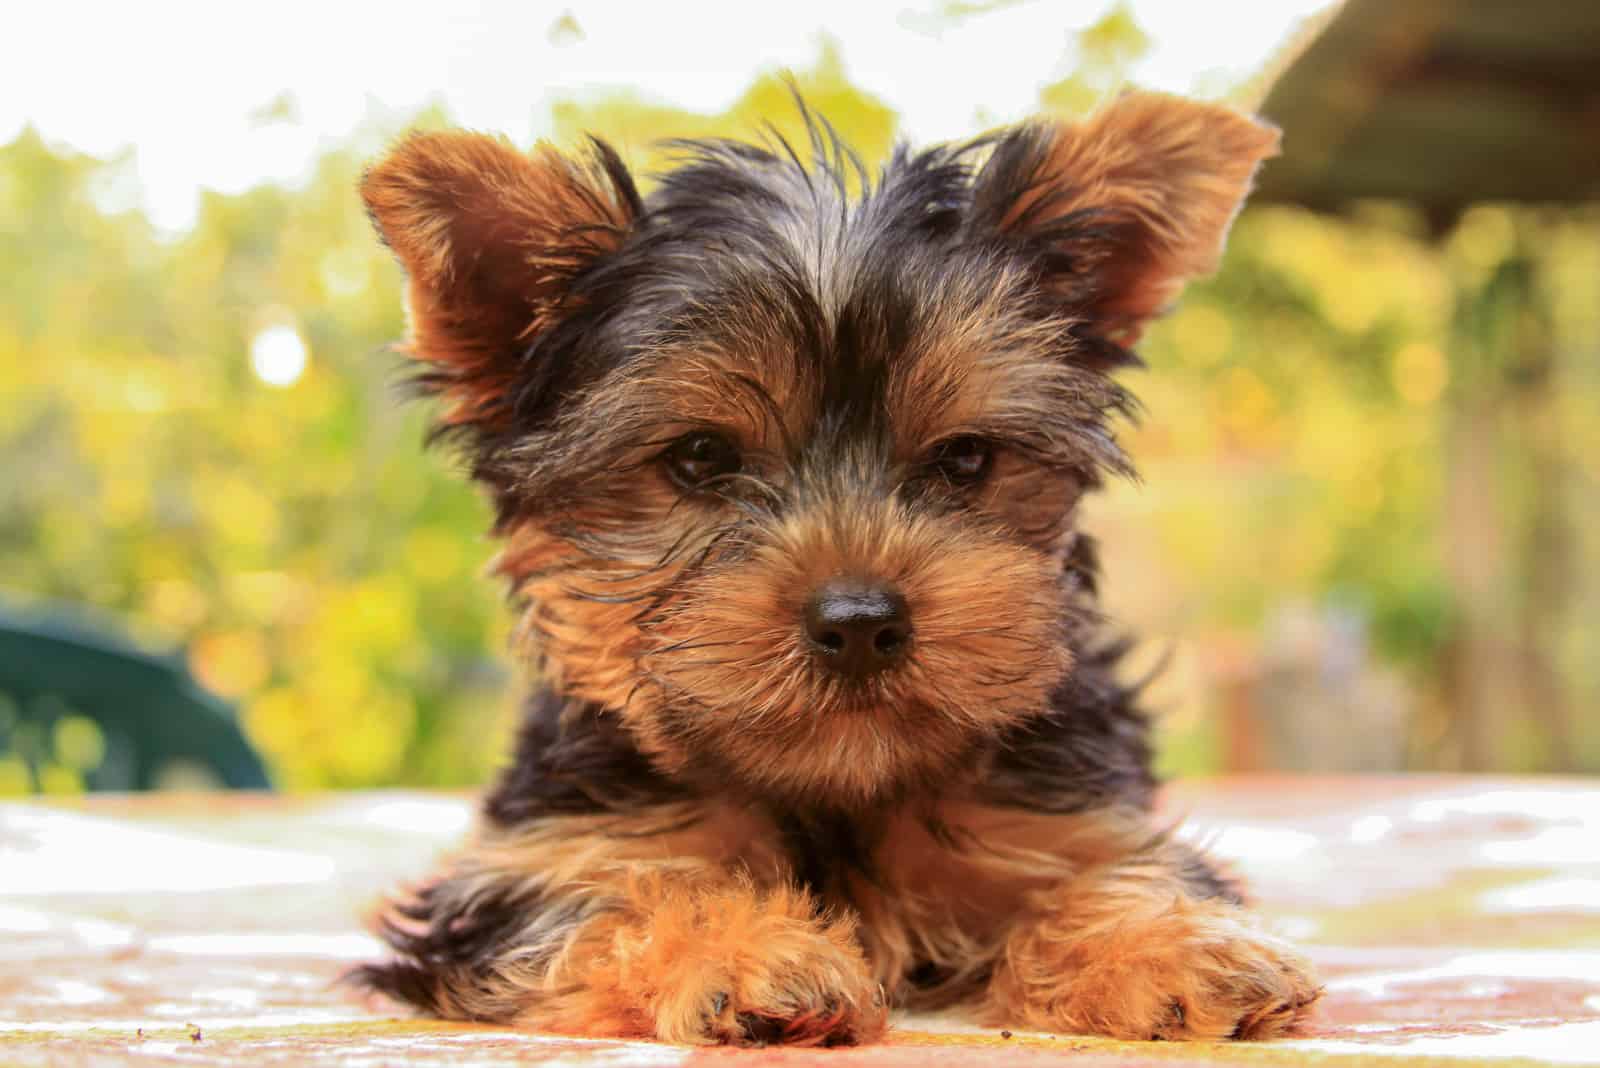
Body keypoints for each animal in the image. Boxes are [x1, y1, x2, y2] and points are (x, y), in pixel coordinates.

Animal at [356, 95, 1318, 1048]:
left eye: (965, 459)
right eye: (700, 457)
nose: (859, 621)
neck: (838, 788)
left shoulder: (1067, 813)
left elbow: (1115, 865)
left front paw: (1167, 943)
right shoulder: (542, 857)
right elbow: (619, 897)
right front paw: (746, 953)